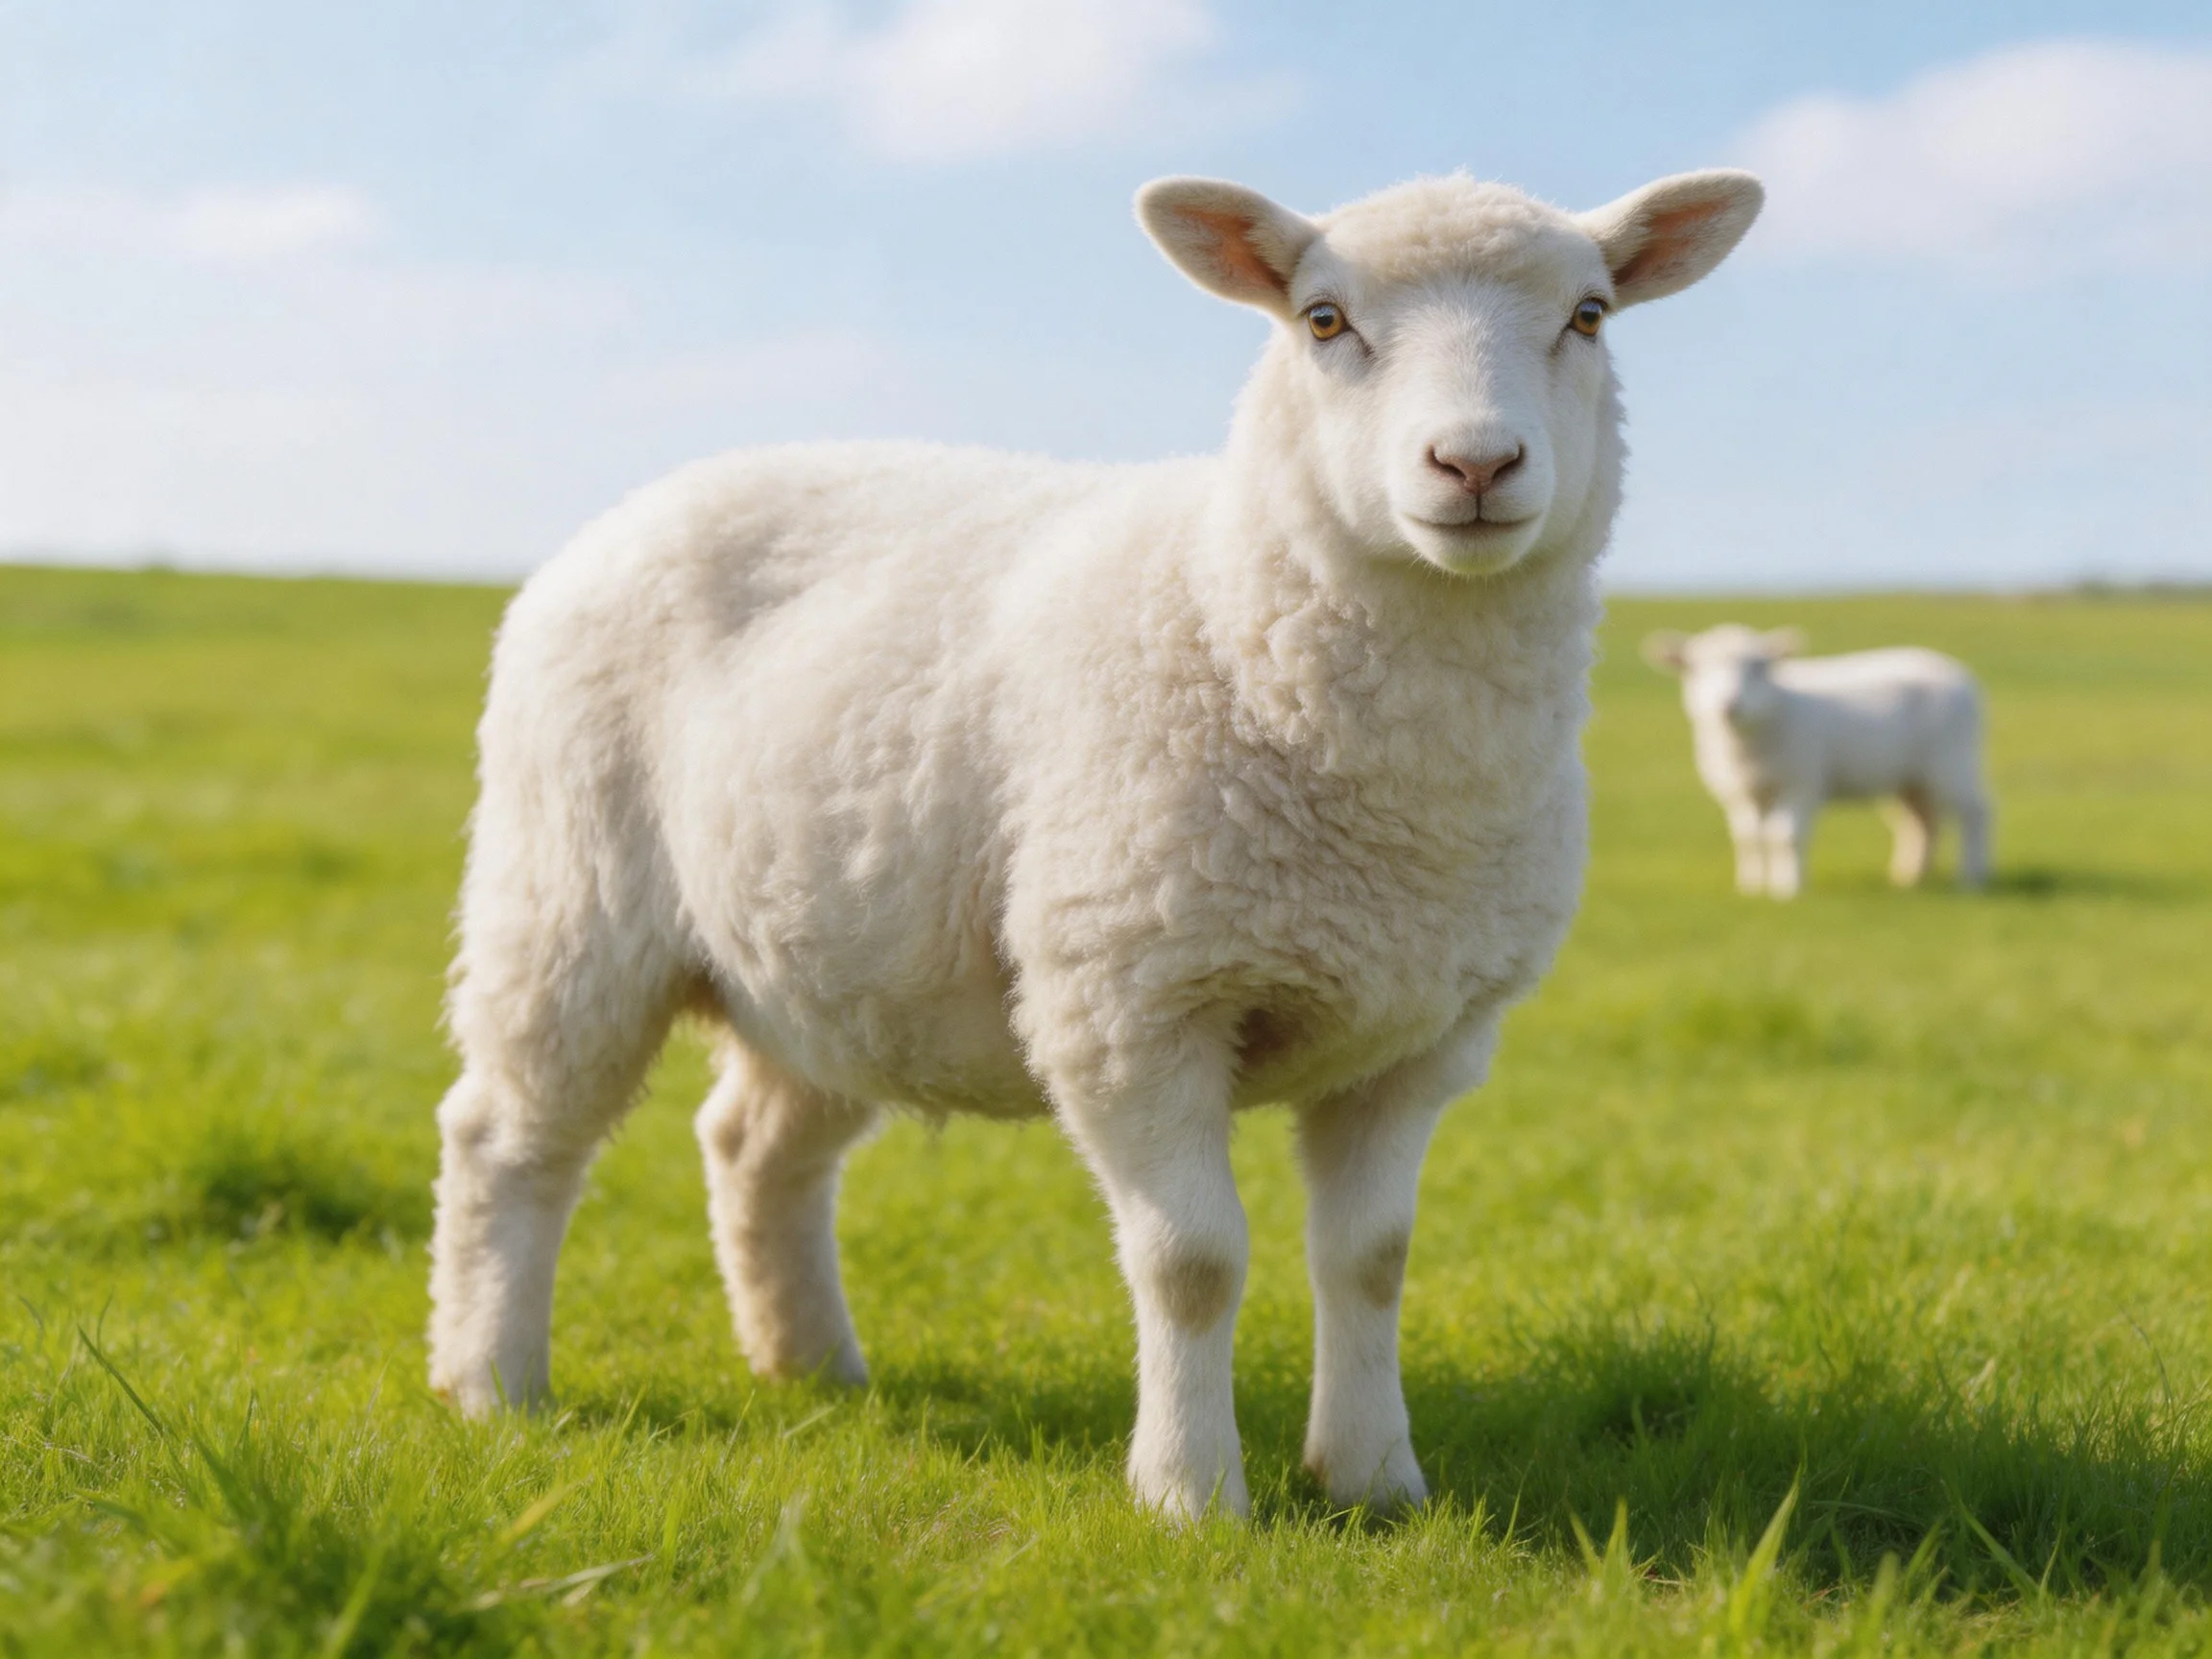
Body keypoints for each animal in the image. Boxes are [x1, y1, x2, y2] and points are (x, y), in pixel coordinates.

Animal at [426, 166, 1765, 1521]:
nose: (1476, 461)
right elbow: (1193, 1262)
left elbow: (1372, 1260)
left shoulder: (1418, 1035)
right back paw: (491, 1384)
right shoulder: (1130, 998)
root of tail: (647, 500)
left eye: (1590, 315)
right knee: (507, 1138)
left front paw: (1375, 1481)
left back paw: (811, 1367)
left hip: (834, 957)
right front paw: (1191, 1496)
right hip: (569, 899)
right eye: (1323, 320)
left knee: (755, 1145)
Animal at [1642, 624, 1991, 898]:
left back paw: (1972, 878)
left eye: (1759, 667)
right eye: (1694, 668)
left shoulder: (1802, 781)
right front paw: (1751, 887)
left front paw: (1788, 889)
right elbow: (1749, 838)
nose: (1729, 705)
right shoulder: (1741, 792)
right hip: (1911, 777)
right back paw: (1909, 877)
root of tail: (1957, 672)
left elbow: (1785, 836)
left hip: (1953, 760)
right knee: (1921, 822)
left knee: (1976, 812)